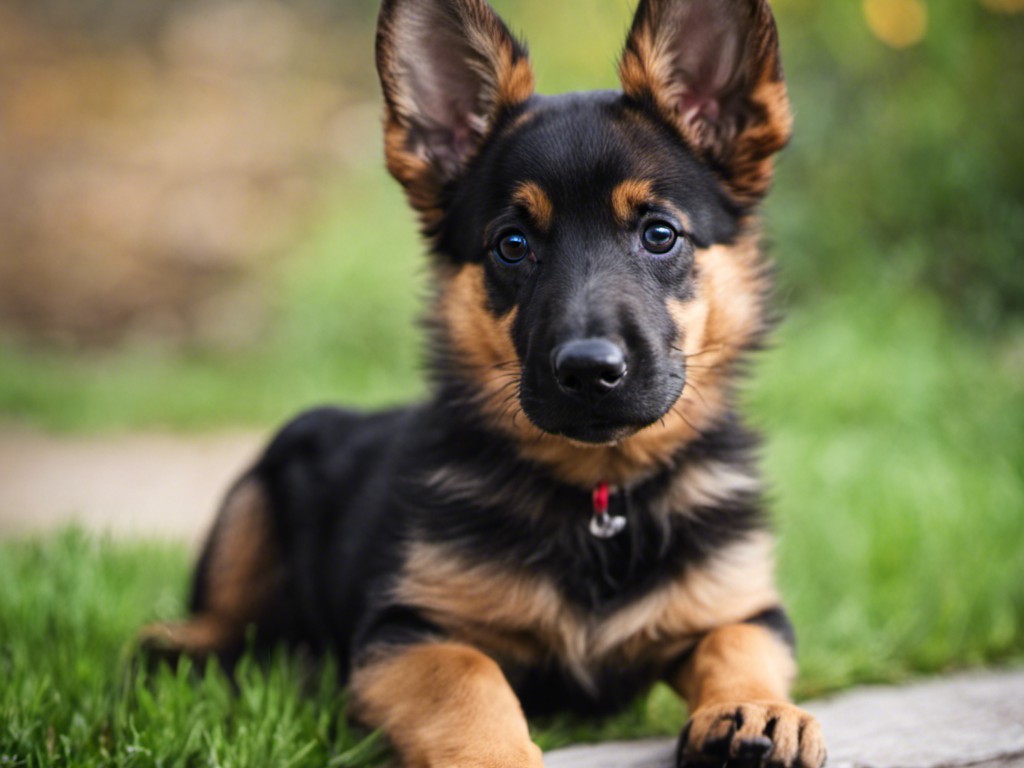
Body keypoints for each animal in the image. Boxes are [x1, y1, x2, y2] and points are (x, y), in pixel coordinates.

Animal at [144, 0, 827, 765]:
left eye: (659, 234)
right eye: (512, 245)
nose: (589, 371)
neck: (600, 500)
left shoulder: (744, 607)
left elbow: (735, 642)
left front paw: (754, 709)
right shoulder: (405, 631)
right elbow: (468, 674)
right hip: (257, 494)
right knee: (220, 627)